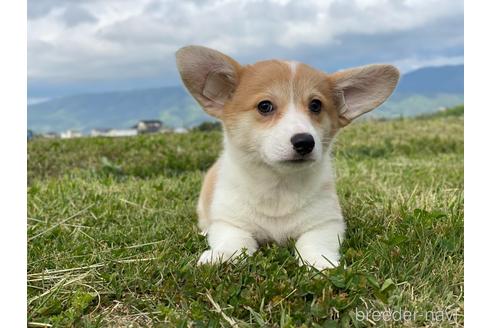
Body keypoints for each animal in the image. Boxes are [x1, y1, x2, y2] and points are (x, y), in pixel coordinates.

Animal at [175, 45, 398, 270]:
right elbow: (235, 241)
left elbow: (312, 244)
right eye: (265, 106)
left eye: (316, 105)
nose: (305, 142)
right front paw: (220, 255)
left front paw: (321, 263)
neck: (279, 185)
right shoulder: (231, 223)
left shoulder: (325, 223)